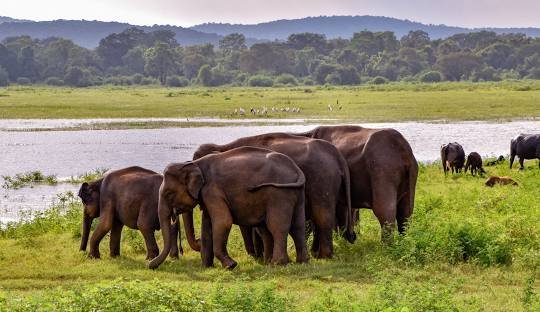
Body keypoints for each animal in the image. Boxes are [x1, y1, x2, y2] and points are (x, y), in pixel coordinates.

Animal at [148, 147, 308, 270]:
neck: (194, 164)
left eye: (169, 194)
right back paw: (301, 262)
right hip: (297, 193)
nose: (150, 266)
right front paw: (207, 267)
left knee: (277, 226)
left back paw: (277, 264)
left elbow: (223, 221)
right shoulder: (208, 195)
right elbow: (207, 226)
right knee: (298, 226)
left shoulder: (212, 191)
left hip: (279, 194)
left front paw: (230, 265)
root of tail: (296, 169)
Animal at [184, 132, 356, 258]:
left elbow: (248, 225)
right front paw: (259, 255)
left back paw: (323, 256)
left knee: (322, 217)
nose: (199, 241)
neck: (224, 147)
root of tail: (337, 155)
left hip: (322, 180)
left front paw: (256, 256)